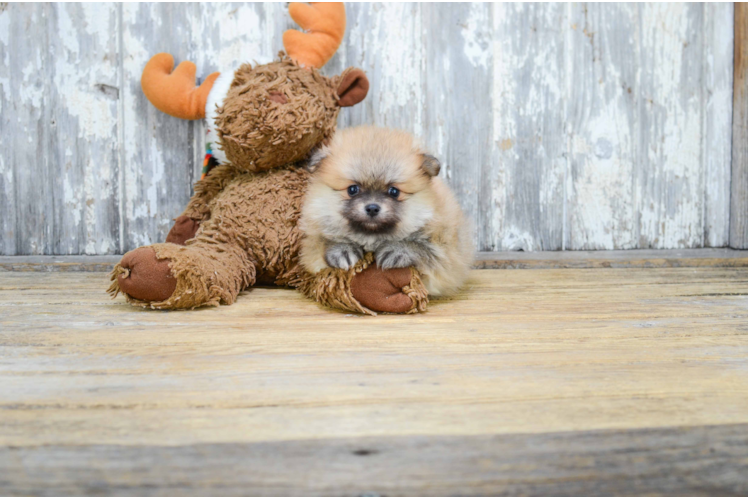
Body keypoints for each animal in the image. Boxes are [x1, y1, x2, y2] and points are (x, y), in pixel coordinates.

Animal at [298, 126, 474, 296]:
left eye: (394, 191)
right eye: (353, 189)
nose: (372, 207)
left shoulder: (446, 249)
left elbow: (426, 251)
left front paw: (399, 250)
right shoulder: (311, 243)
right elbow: (321, 243)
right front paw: (342, 249)